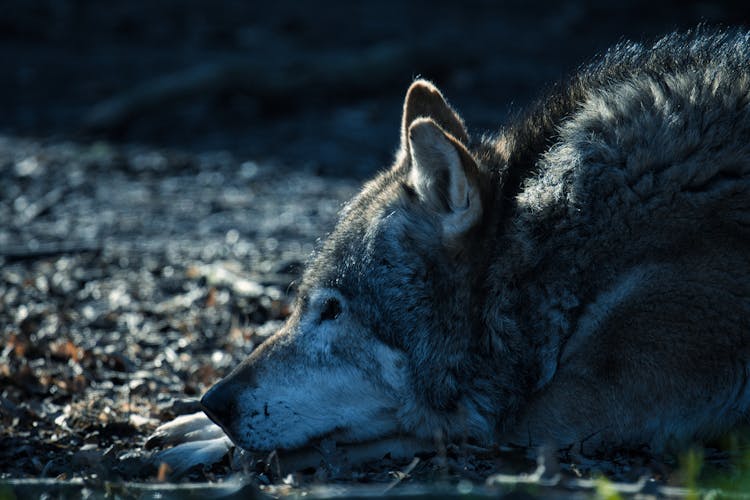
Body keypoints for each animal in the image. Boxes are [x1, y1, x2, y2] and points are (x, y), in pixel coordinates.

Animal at [150, 28, 750, 472]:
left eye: (333, 309)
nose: (215, 402)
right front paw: (192, 424)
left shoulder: (561, 415)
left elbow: (420, 427)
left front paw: (208, 443)